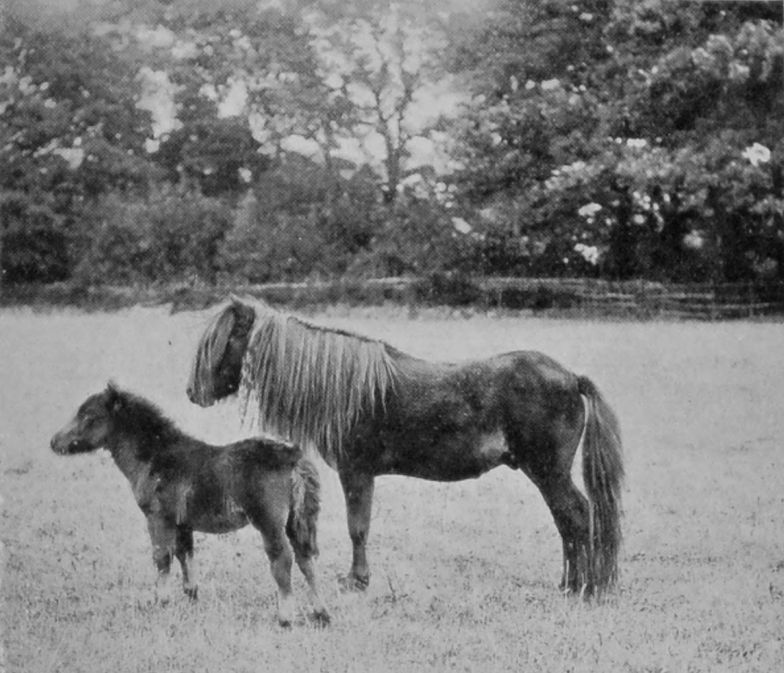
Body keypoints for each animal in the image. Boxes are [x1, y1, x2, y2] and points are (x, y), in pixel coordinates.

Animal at [50, 382, 330, 626]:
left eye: (89, 416)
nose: (54, 442)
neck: (155, 457)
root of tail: (295, 457)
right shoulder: (182, 523)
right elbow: (185, 554)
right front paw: (191, 598)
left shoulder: (157, 518)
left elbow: (162, 557)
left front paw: (160, 602)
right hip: (297, 519)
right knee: (306, 559)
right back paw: (322, 614)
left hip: (269, 522)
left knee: (282, 560)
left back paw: (285, 618)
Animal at [186, 296, 624, 597]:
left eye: (225, 340)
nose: (193, 393)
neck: (347, 388)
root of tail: (570, 377)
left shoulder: (356, 472)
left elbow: (358, 528)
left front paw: (357, 581)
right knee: (568, 521)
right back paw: (572, 584)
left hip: (549, 472)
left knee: (575, 517)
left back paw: (582, 588)